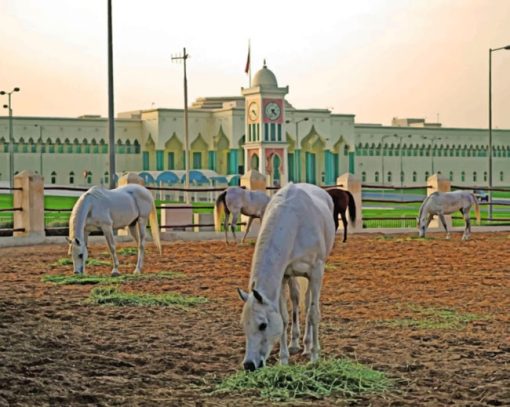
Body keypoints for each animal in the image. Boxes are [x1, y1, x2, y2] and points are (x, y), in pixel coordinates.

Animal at [238, 185, 336, 372]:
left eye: (263, 325)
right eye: (244, 325)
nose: (249, 365)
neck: (295, 224)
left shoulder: (316, 272)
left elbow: (313, 314)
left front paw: (314, 357)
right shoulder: (284, 276)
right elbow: (283, 317)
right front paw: (283, 360)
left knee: (308, 303)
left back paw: (308, 347)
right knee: (297, 299)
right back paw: (295, 344)